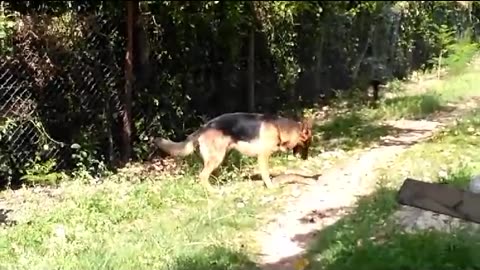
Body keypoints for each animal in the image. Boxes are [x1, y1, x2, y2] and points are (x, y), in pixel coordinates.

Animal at [152, 112, 314, 190]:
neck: (278, 128)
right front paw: (271, 187)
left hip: (220, 156)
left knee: (210, 175)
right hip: (217, 157)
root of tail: (203, 128)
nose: (306, 159)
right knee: (203, 176)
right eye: (307, 144)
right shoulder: (263, 156)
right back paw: (214, 192)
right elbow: (266, 175)